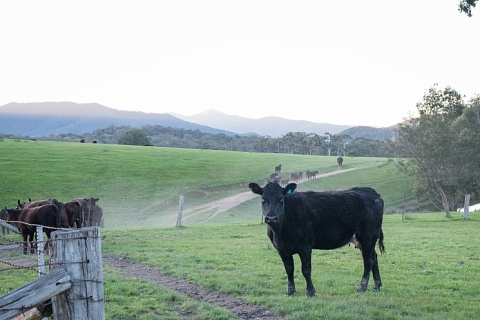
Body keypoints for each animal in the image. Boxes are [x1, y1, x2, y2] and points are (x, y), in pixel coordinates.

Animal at [249, 181, 384, 296]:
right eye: (263, 199)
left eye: (281, 199)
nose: (271, 218)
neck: (280, 233)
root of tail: (371, 192)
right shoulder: (281, 250)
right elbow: (289, 270)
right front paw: (290, 291)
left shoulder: (305, 246)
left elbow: (306, 269)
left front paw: (310, 291)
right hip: (363, 240)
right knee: (374, 257)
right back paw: (376, 286)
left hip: (368, 236)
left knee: (368, 260)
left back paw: (362, 287)